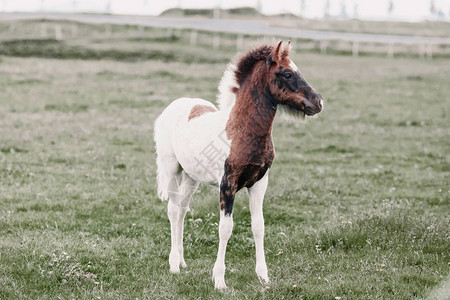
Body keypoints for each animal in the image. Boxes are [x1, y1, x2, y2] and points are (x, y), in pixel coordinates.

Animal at [155, 41, 324, 290]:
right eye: (287, 73)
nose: (318, 101)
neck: (241, 131)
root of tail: (174, 105)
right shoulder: (227, 185)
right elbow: (225, 229)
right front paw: (219, 280)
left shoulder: (259, 183)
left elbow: (259, 226)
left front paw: (263, 276)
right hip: (171, 170)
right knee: (173, 210)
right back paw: (174, 265)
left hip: (191, 176)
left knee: (183, 210)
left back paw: (183, 262)